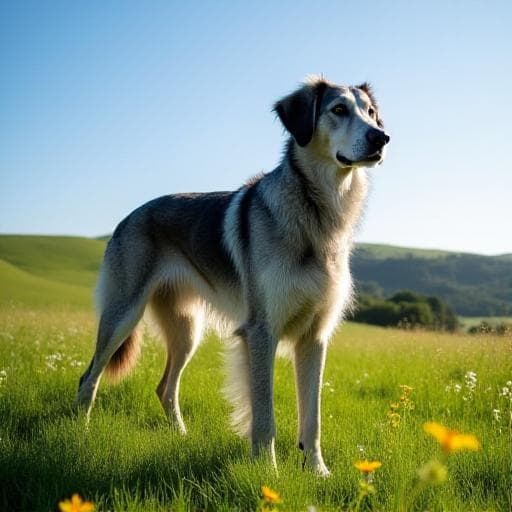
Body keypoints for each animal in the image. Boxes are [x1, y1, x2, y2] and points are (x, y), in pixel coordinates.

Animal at [77, 77, 388, 476]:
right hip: (122, 317)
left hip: (187, 331)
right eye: (338, 110)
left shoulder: (314, 338)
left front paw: (318, 472)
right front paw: (267, 472)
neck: (318, 216)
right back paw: (81, 434)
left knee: (165, 388)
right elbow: (264, 418)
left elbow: (312, 420)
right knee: (88, 378)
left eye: (370, 112)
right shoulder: (261, 333)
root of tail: (129, 216)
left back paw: (181, 436)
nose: (382, 137)